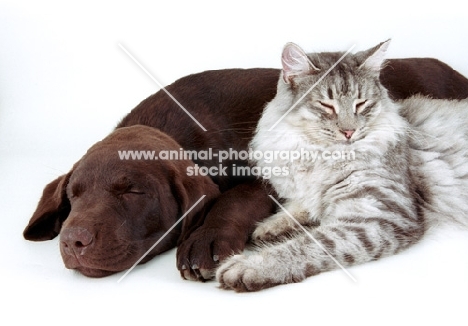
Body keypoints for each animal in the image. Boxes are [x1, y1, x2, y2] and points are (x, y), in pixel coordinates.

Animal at [218, 39, 468, 292]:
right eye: (327, 105)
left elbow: (312, 243)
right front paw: (270, 227)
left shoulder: (378, 217)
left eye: (361, 104)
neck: (320, 155)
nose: (349, 132)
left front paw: (250, 265)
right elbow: (299, 207)